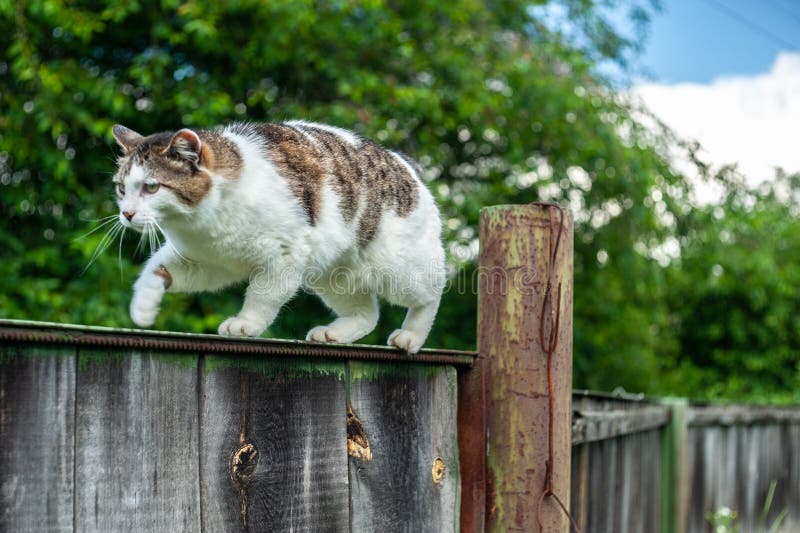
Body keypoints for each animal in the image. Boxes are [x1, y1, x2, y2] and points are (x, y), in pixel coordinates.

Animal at [110, 121, 446, 354]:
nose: (126, 213)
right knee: (367, 313)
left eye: (151, 187)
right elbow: (156, 269)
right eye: (121, 188)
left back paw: (411, 336)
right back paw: (335, 333)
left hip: (400, 270)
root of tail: (408, 165)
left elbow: (263, 294)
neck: (202, 224)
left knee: (433, 290)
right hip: (335, 275)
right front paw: (143, 308)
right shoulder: (206, 261)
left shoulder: (284, 255)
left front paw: (246, 323)